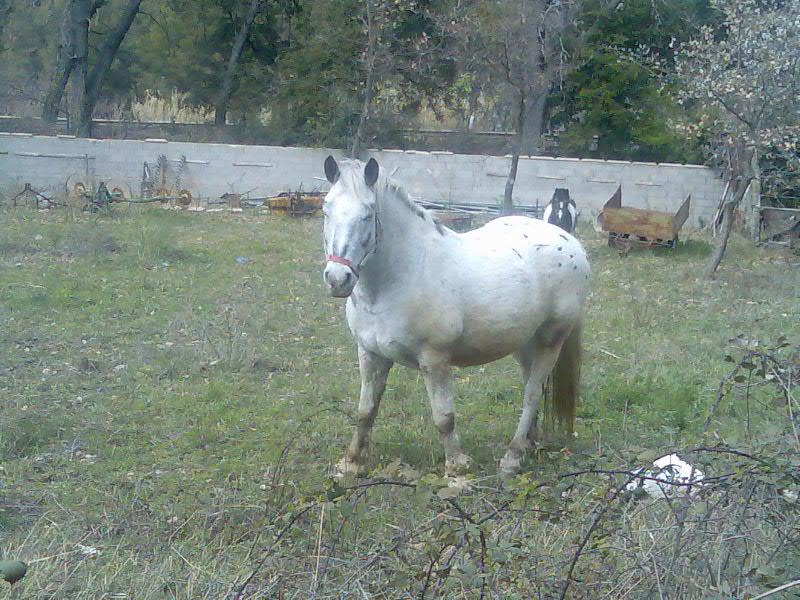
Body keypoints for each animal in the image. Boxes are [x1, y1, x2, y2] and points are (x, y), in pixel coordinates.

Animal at [321, 156, 590, 477]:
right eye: (326, 209)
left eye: (368, 214)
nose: (338, 278)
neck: (405, 273)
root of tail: (570, 242)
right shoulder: (370, 355)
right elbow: (365, 412)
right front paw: (349, 465)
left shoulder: (434, 360)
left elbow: (444, 417)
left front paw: (457, 471)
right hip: (525, 342)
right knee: (532, 386)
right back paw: (528, 444)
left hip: (551, 340)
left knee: (532, 393)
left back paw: (512, 456)